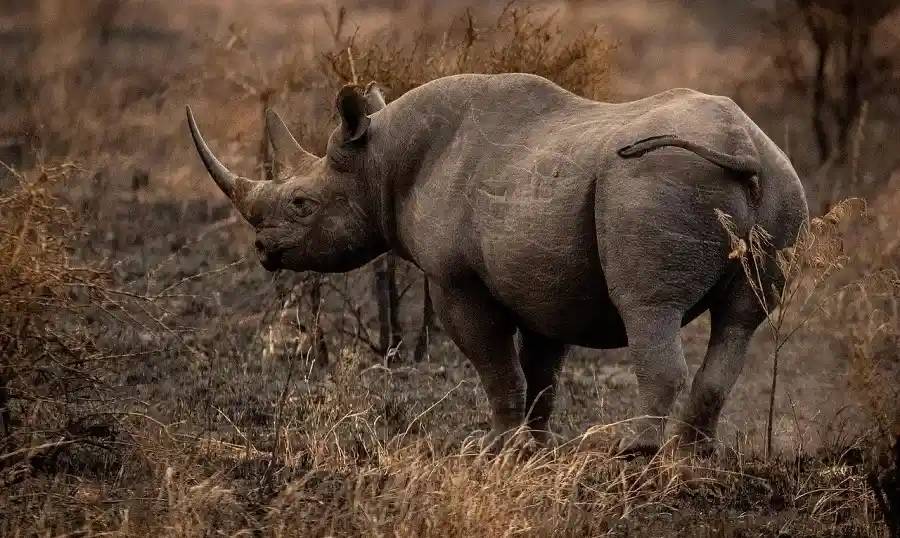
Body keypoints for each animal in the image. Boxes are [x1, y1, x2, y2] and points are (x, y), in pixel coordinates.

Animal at [185, 72, 809, 457]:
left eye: (301, 203)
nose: (263, 250)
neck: (380, 162)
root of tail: (743, 146)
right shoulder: (544, 277)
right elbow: (541, 369)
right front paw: (535, 446)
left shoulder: (455, 280)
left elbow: (494, 363)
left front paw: (495, 446)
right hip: (782, 181)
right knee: (739, 320)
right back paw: (689, 455)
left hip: (652, 182)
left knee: (647, 308)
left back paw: (632, 452)